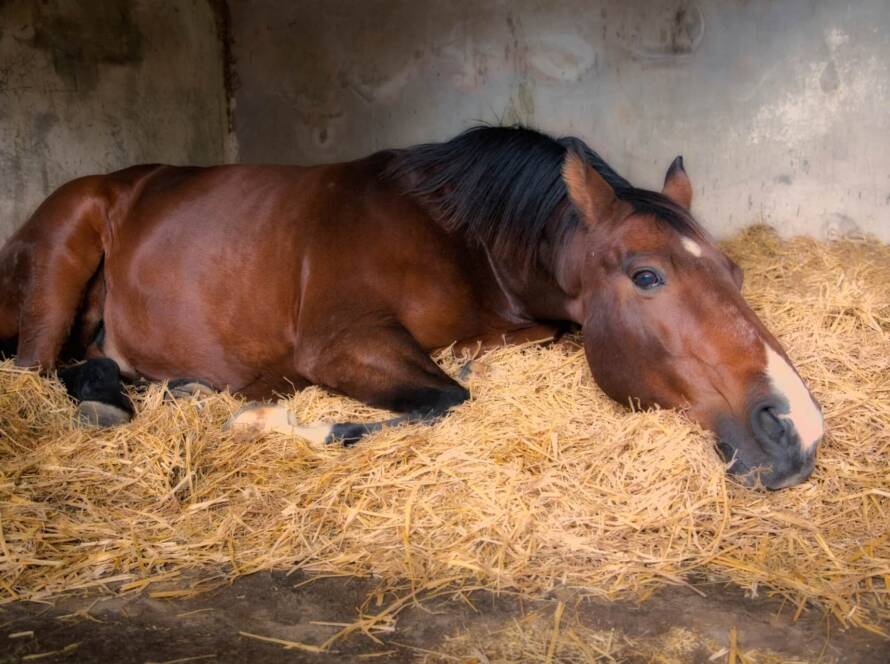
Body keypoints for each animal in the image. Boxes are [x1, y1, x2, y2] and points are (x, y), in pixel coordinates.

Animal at [0, 126, 824, 488]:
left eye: (735, 271)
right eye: (648, 276)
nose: (799, 429)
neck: (458, 238)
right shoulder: (341, 344)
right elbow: (444, 399)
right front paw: (265, 421)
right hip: (60, 268)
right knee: (36, 369)